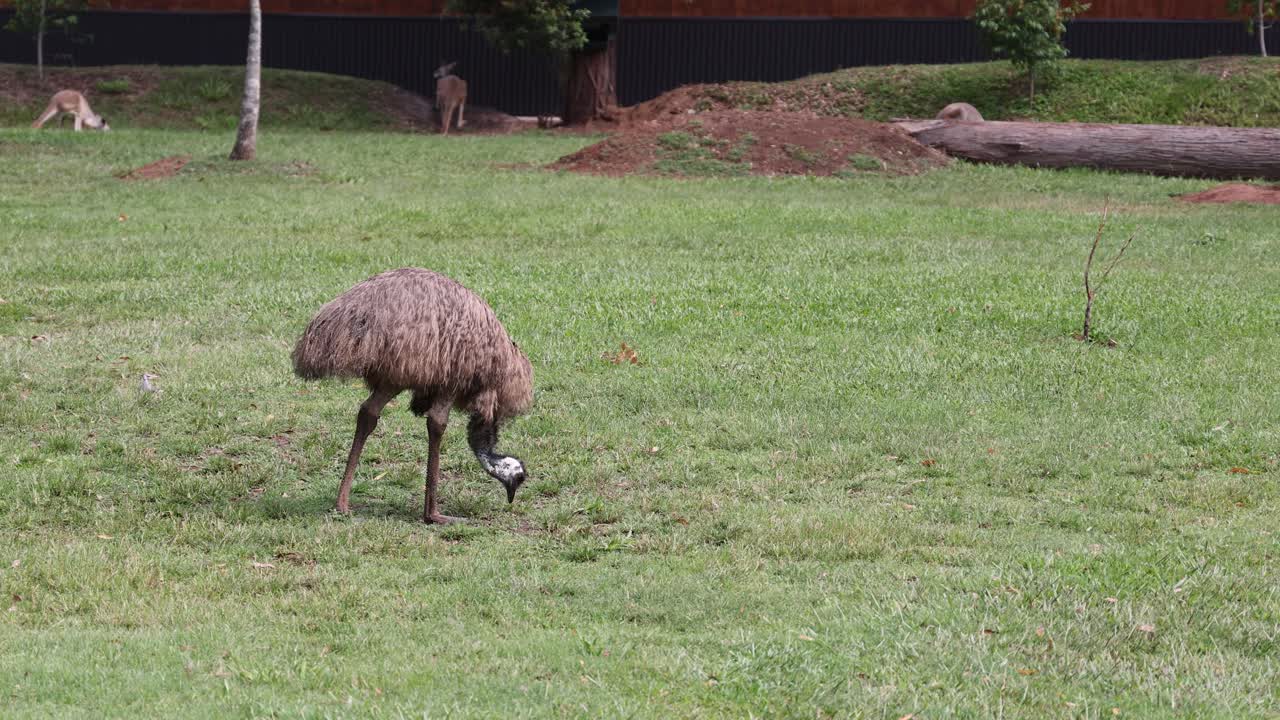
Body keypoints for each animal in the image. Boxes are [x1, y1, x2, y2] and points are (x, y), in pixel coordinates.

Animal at [292, 268, 533, 524]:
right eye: (520, 478)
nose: (511, 497)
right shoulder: (453, 382)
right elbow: (437, 423)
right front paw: (433, 515)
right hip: (415, 365)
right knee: (423, 420)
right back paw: (432, 513)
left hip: (394, 374)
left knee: (368, 413)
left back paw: (342, 504)